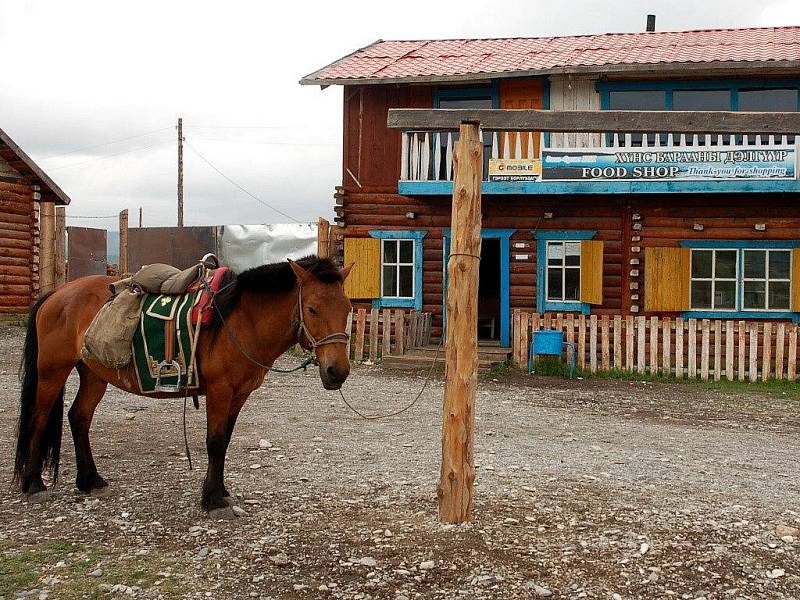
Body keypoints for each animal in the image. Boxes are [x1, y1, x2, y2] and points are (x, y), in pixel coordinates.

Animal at [12, 255, 354, 516]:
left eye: (348, 308)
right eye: (312, 309)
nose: (337, 371)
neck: (240, 320)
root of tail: (56, 293)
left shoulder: (239, 394)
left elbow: (225, 441)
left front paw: (220, 491)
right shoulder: (219, 390)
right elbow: (215, 442)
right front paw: (213, 500)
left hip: (95, 375)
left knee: (79, 417)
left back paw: (90, 480)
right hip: (52, 372)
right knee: (39, 418)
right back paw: (34, 484)